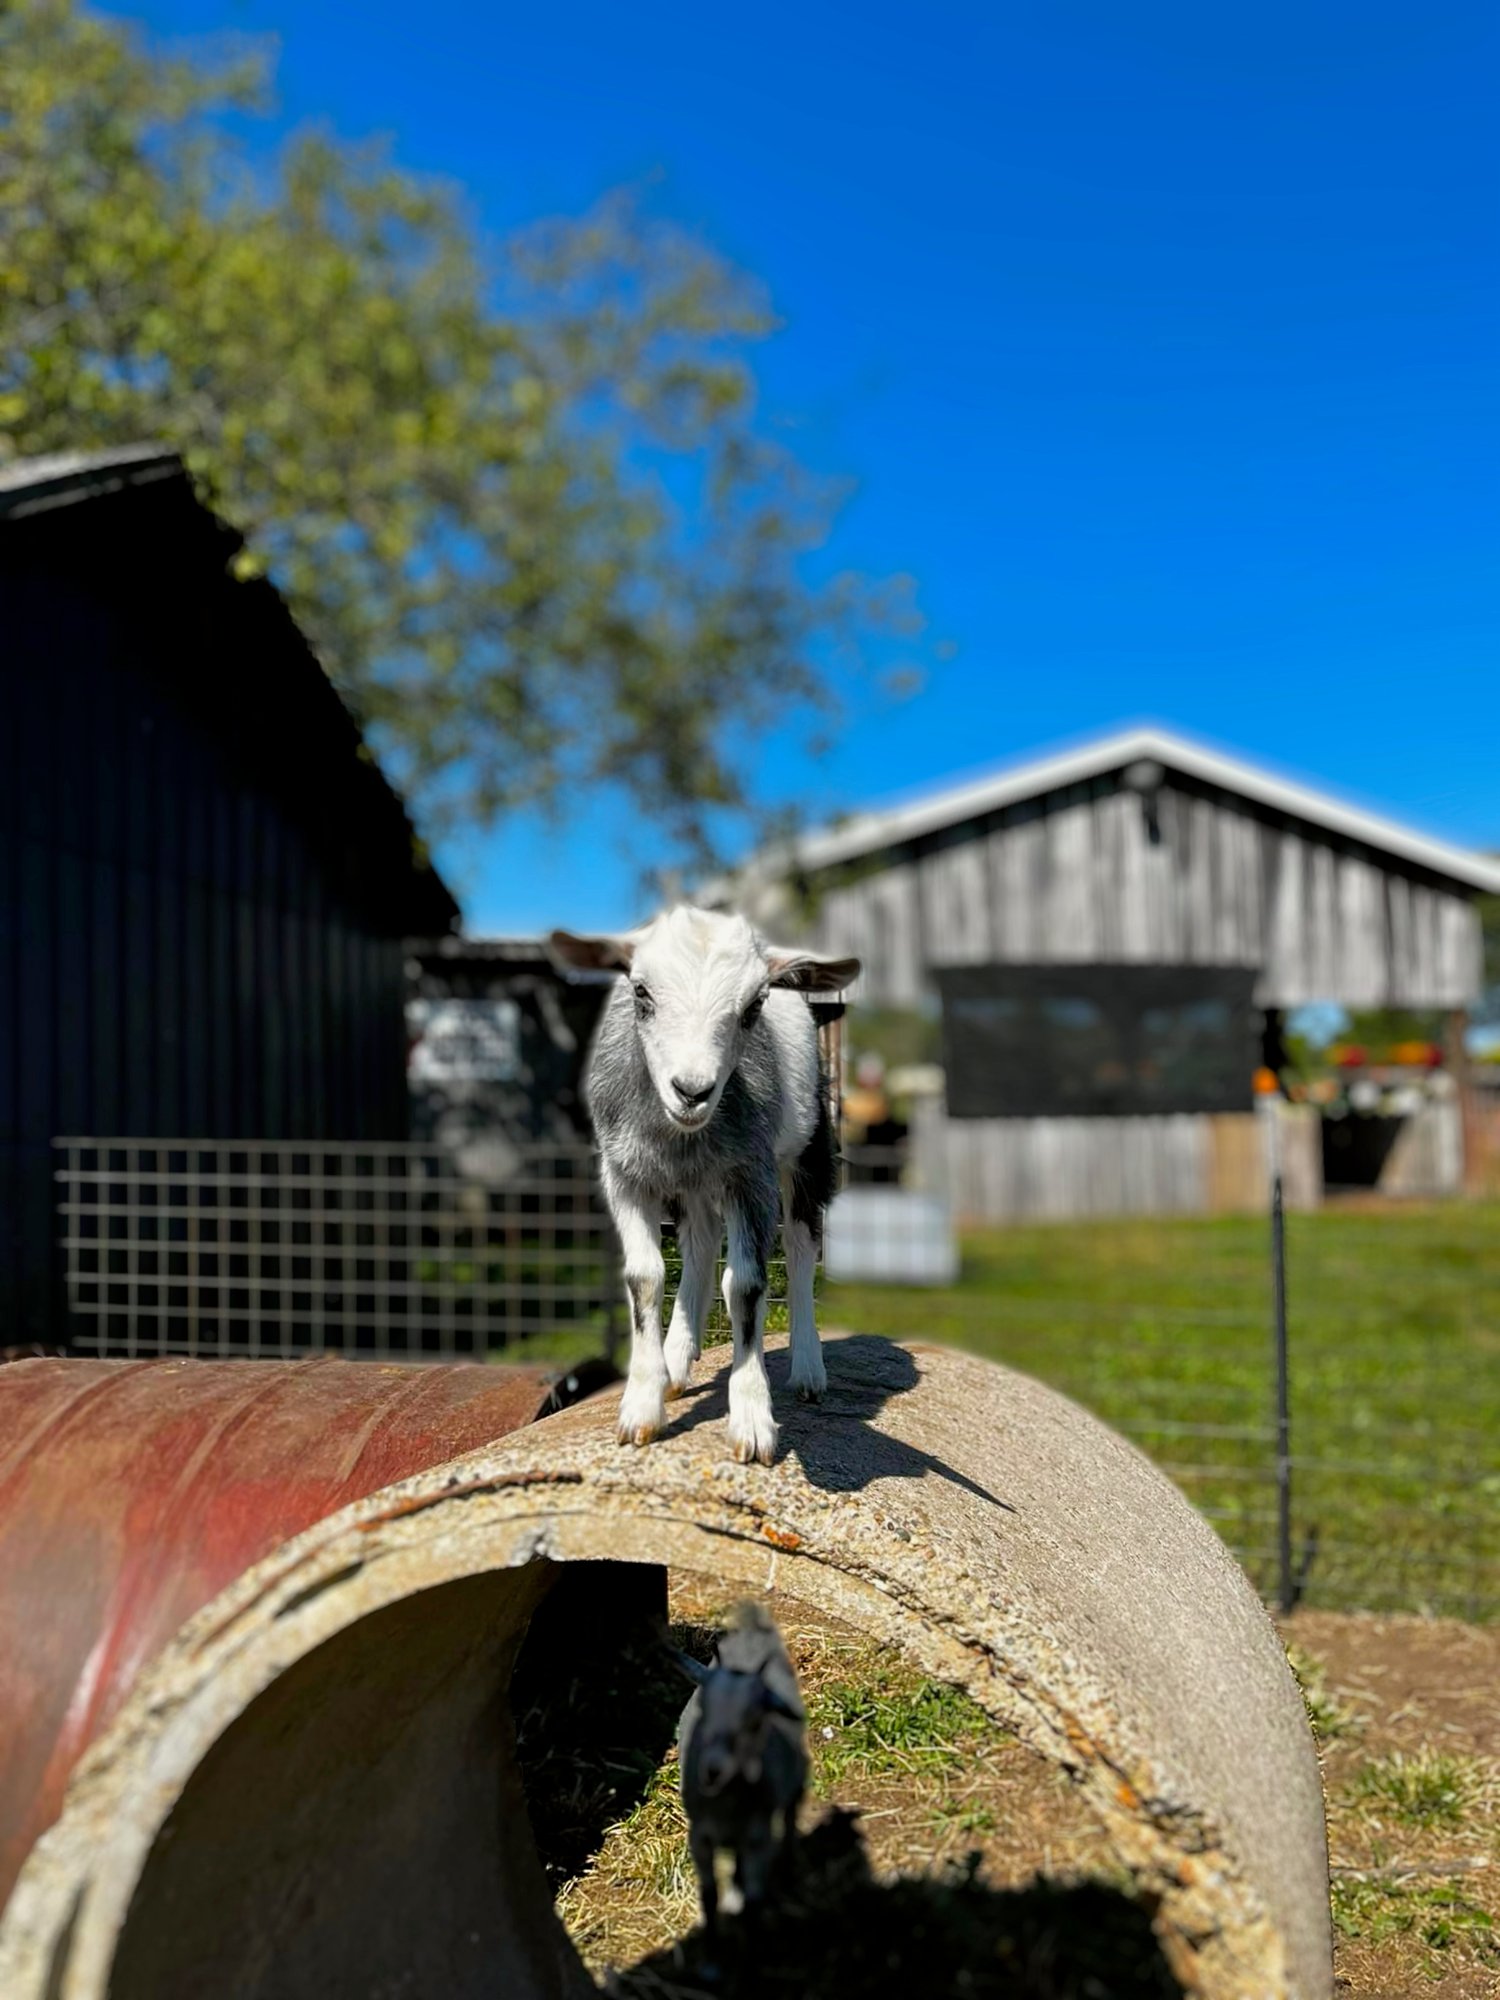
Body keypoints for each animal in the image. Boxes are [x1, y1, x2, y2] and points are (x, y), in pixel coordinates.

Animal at [549, 907, 859, 1466]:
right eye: (641, 992)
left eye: (754, 1005)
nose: (691, 1091)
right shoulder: (624, 1175)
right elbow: (645, 1277)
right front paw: (641, 1407)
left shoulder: (751, 1175)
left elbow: (746, 1285)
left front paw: (752, 1422)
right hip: (693, 1186)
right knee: (700, 1241)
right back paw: (676, 1360)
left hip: (808, 1147)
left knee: (802, 1246)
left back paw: (808, 1369)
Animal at [674, 1603, 808, 1929]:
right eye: (703, 1709)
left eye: (755, 1720)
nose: (713, 1769)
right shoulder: (700, 1837)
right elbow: (710, 1894)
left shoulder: (757, 1839)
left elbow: (754, 1899)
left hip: (796, 1780)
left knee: (790, 1816)